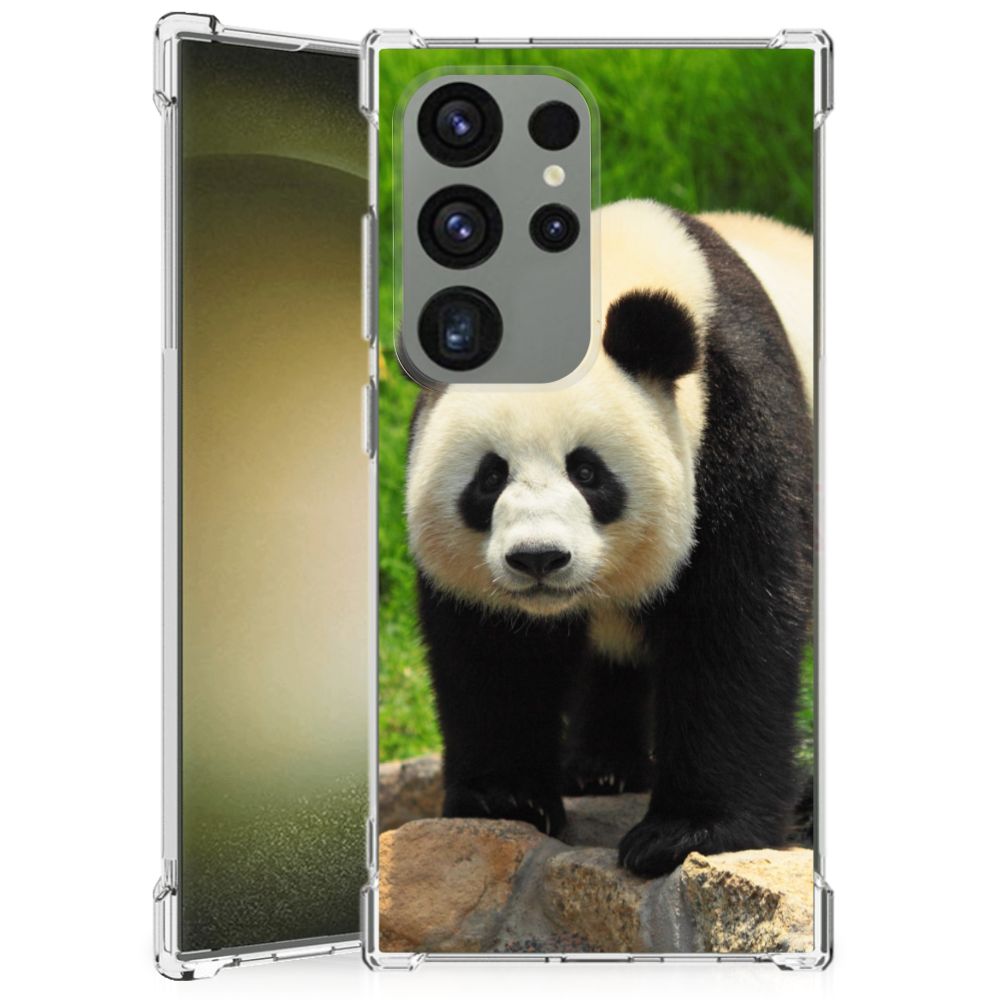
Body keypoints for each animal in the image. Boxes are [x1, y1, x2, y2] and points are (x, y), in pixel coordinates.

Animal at [405, 199, 814, 877]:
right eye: (490, 477)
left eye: (588, 471)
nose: (538, 558)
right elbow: (493, 649)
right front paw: (505, 799)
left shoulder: (741, 422)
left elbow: (734, 626)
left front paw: (686, 833)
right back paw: (600, 768)